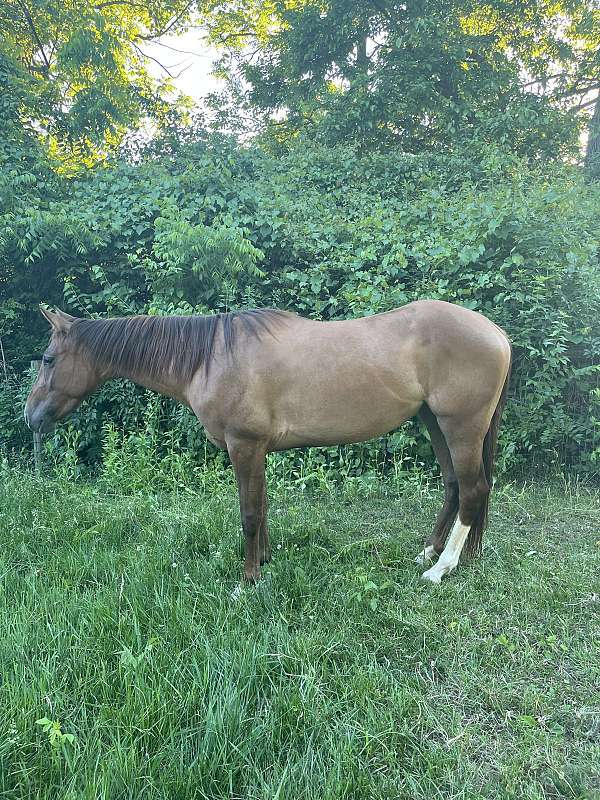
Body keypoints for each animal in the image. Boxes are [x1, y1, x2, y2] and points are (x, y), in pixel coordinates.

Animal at [25, 302, 511, 584]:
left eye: (48, 359)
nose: (30, 417)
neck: (210, 358)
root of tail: (497, 333)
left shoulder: (244, 445)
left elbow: (249, 513)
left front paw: (247, 580)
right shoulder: (256, 451)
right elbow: (262, 507)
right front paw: (265, 562)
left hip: (460, 426)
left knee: (473, 490)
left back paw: (441, 568)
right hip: (434, 422)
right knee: (454, 485)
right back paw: (431, 552)